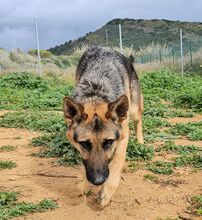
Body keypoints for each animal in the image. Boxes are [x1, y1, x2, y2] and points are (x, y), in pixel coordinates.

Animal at [63, 46, 144, 208]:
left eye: (108, 143)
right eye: (84, 144)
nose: (98, 181)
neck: (96, 92)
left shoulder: (123, 135)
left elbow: (117, 162)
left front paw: (107, 192)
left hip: (132, 110)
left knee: (139, 120)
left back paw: (140, 142)